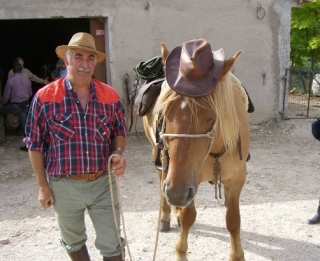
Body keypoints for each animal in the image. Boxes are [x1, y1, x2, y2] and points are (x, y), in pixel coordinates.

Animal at [142, 37, 250, 260]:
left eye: (210, 117)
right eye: (164, 113)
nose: (175, 194)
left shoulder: (236, 179)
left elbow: (233, 220)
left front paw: (237, 254)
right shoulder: (186, 179)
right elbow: (188, 216)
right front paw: (180, 252)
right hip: (160, 157)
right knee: (161, 180)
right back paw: (166, 216)